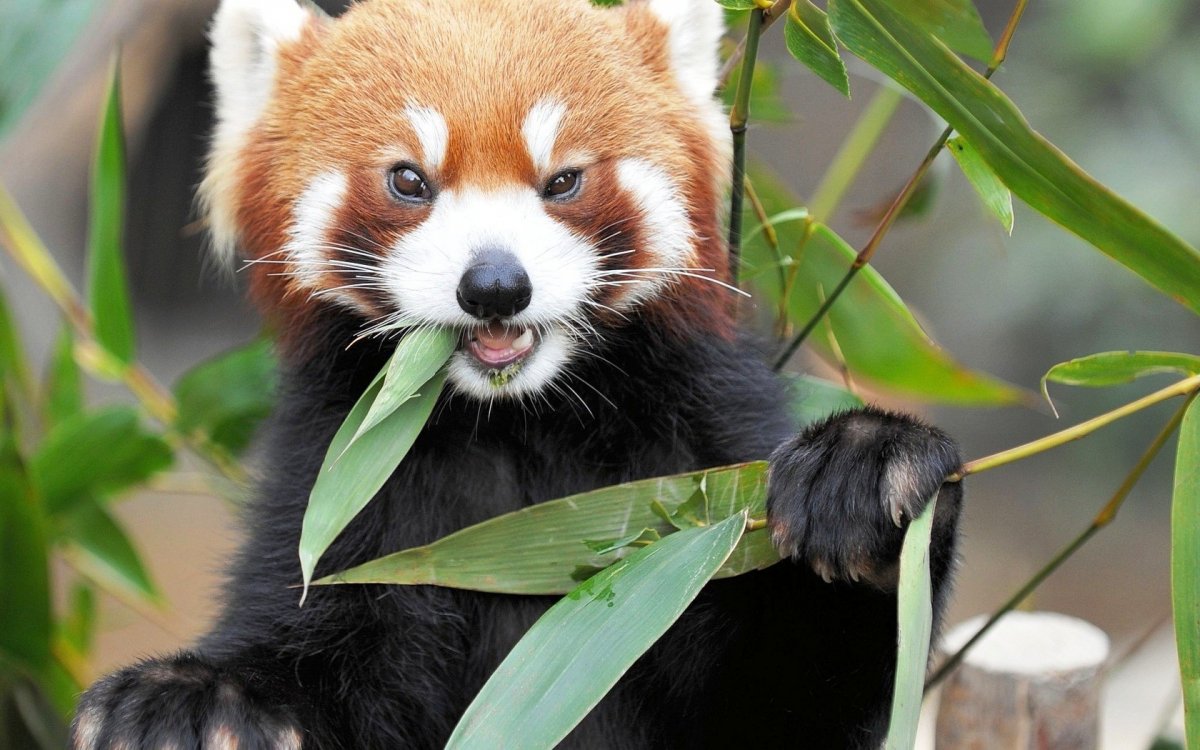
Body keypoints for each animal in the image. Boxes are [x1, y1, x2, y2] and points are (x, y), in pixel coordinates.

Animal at [71, 0, 964, 746]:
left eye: (563, 179)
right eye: (409, 180)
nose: (496, 284)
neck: (518, 427)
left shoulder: (701, 467)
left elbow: (786, 690)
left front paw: (865, 476)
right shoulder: (344, 489)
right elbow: (320, 656)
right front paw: (196, 696)